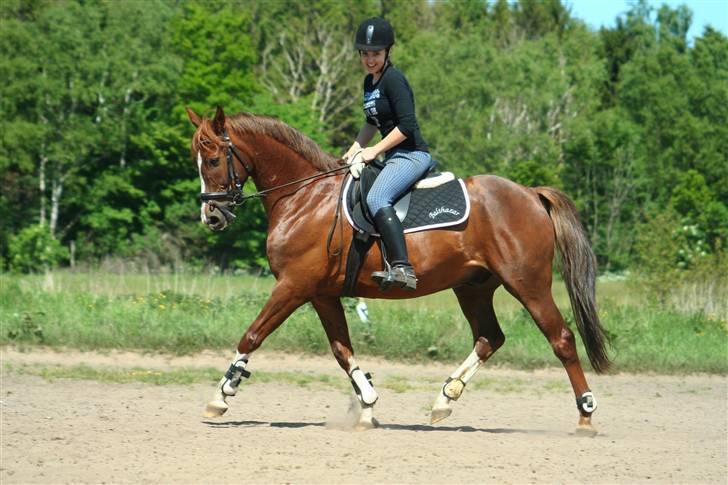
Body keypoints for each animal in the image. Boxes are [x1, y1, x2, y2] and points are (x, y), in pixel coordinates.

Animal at [186, 107, 608, 434]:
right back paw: (444, 400)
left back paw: (586, 414)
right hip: (473, 287)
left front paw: (221, 396)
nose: (211, 216)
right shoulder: (321, 294)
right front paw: (368, 405)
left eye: (213, 159)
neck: (304, 197)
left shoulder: (293, 286)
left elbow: (252, 336)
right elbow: (342, 350)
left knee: (561, 339)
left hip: (527, 283)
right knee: (489, 337)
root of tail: (530, 194)